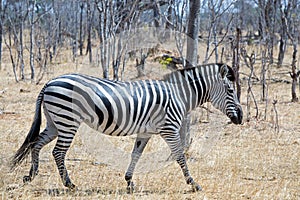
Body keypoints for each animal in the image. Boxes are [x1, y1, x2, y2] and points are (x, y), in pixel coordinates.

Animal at [10, 62, 243, 192]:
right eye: (231, 91)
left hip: (54, 121)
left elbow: (135, 154)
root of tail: (49, 82)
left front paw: (129, 182)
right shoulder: (169, 129)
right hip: (67, 120)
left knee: (36, 143)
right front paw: (193, 184)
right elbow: (179, 156)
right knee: (58, 152)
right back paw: (69, 184)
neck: (179, 95)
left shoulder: (145, 132)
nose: (241, 118)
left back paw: (31, 175)